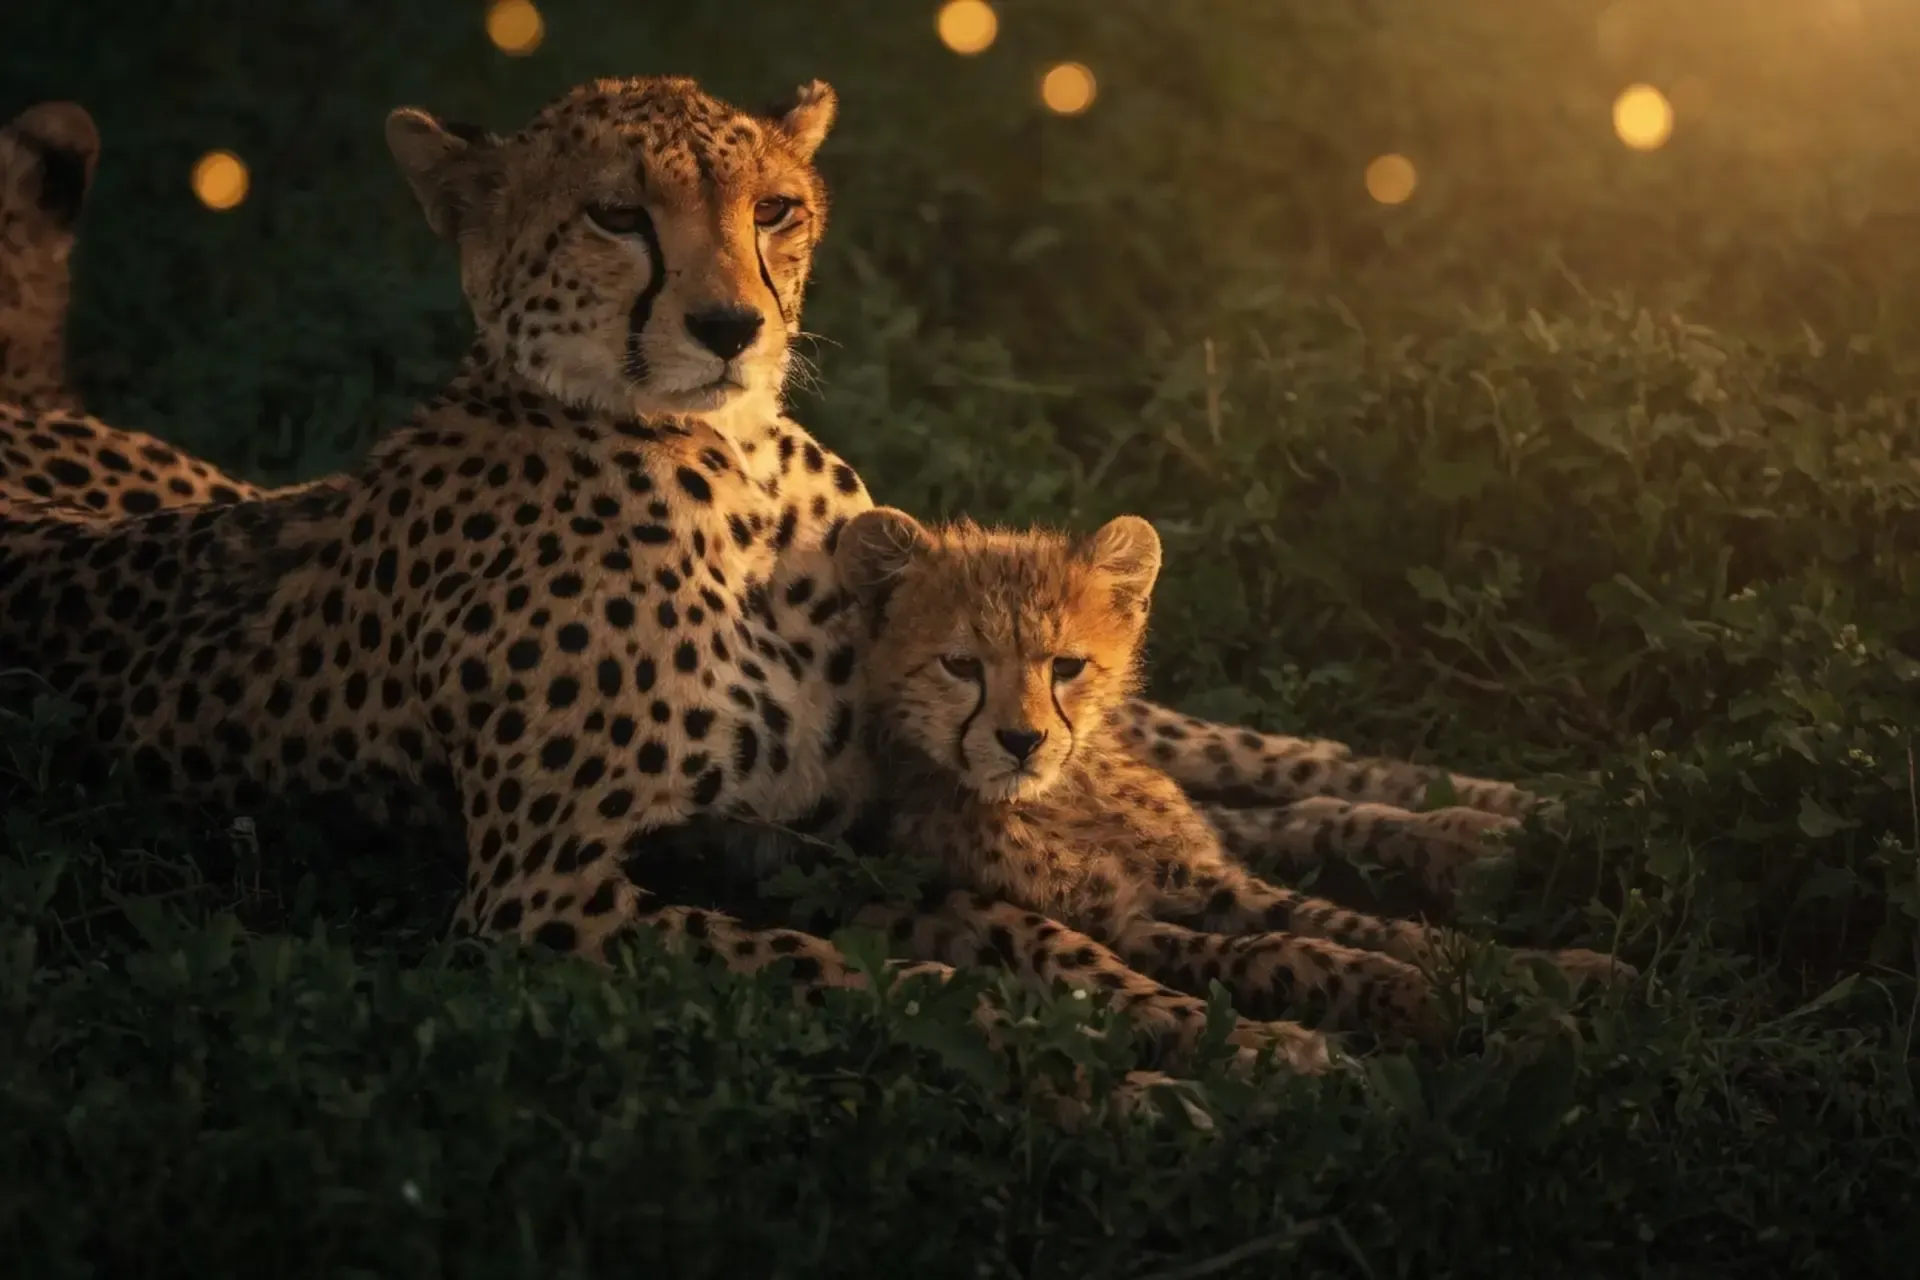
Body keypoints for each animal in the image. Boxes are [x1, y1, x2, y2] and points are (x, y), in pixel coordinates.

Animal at [829, 505, 1634, 1044]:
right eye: (960, 665)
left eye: (1067, 666)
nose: (1023, 740)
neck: (1063, 798)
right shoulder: (1127, 925)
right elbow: (1284, 951)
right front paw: (1423, 993)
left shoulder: (1208, 880)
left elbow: (1339, 922)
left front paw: (1535, 969)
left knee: (1305, 768)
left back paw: (1525, 816)